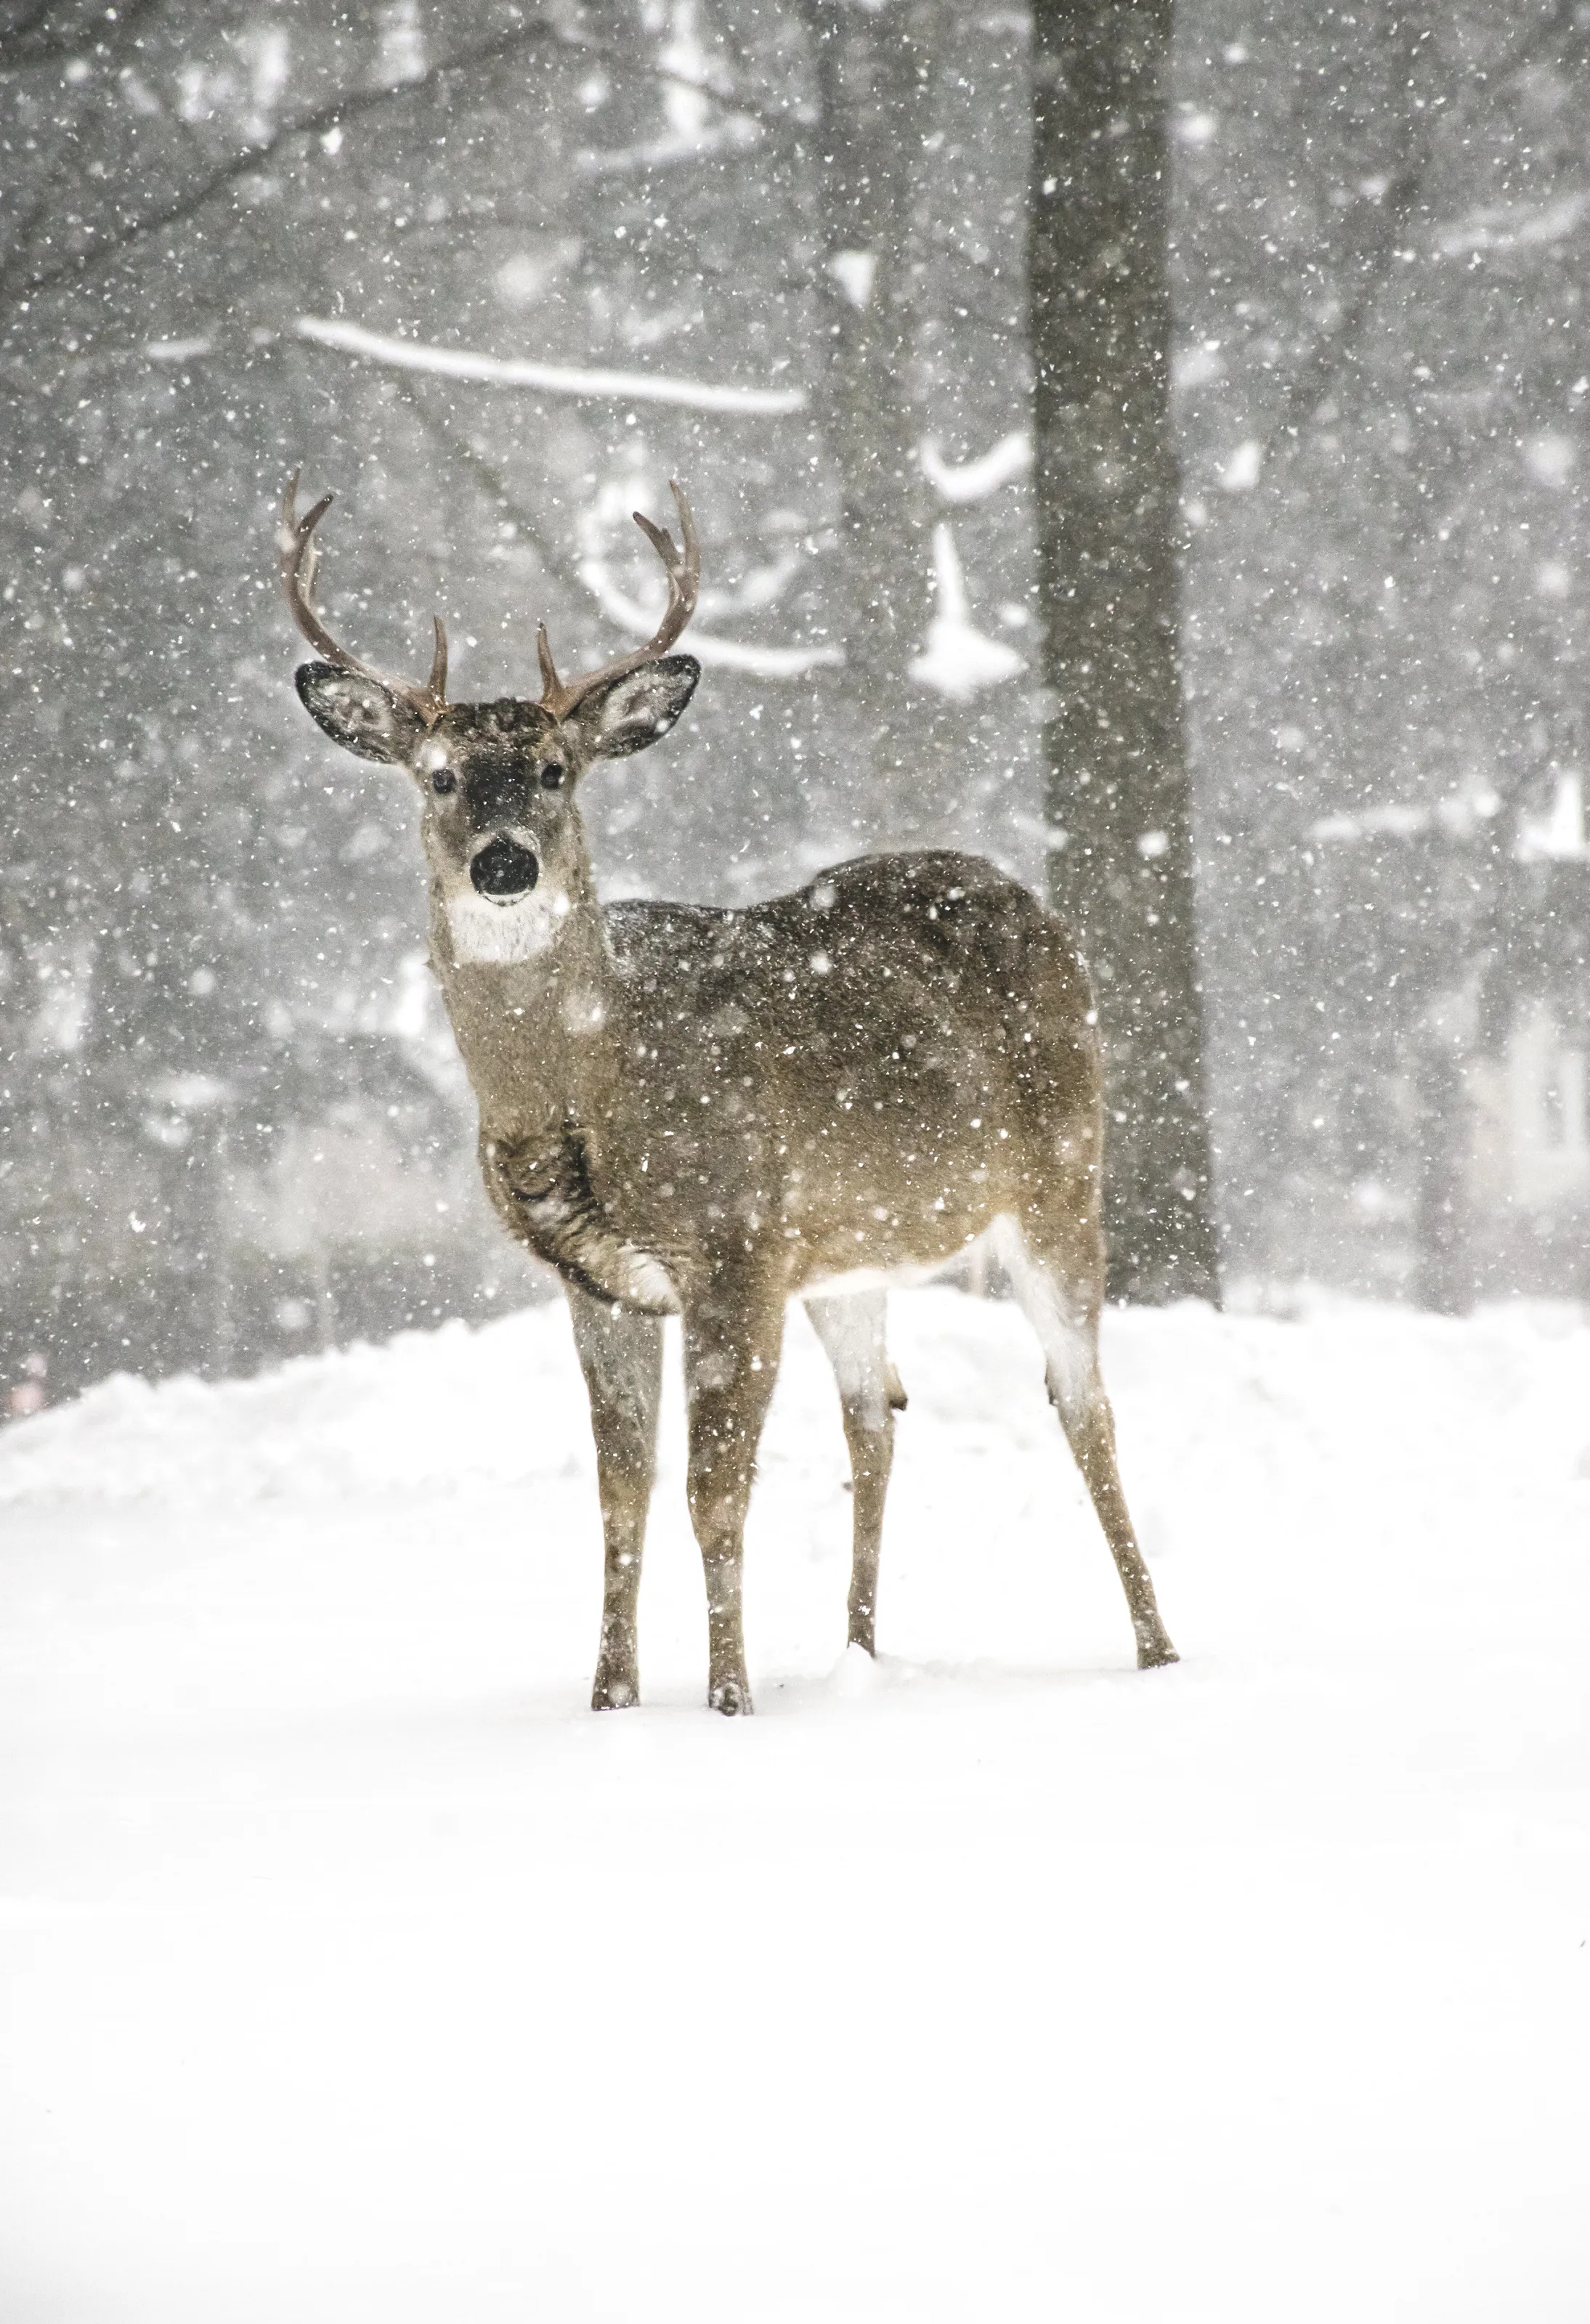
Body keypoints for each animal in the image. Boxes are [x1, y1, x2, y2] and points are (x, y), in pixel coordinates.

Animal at [279, 475, 1178, 1713]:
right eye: (440, 774)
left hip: (1059, 1177)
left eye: (557, 771)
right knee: (875, 1415)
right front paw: (610, 1702)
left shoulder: (735, 1245)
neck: (583, 1099)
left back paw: (1156, 1650)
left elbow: (716, 1490)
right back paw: (858, 1654)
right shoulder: (599, 1281)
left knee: (1084, 1402)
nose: (504, 863)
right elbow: (621, 1493)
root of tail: (1035, 904)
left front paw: (728, 1700)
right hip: (850, 1248)